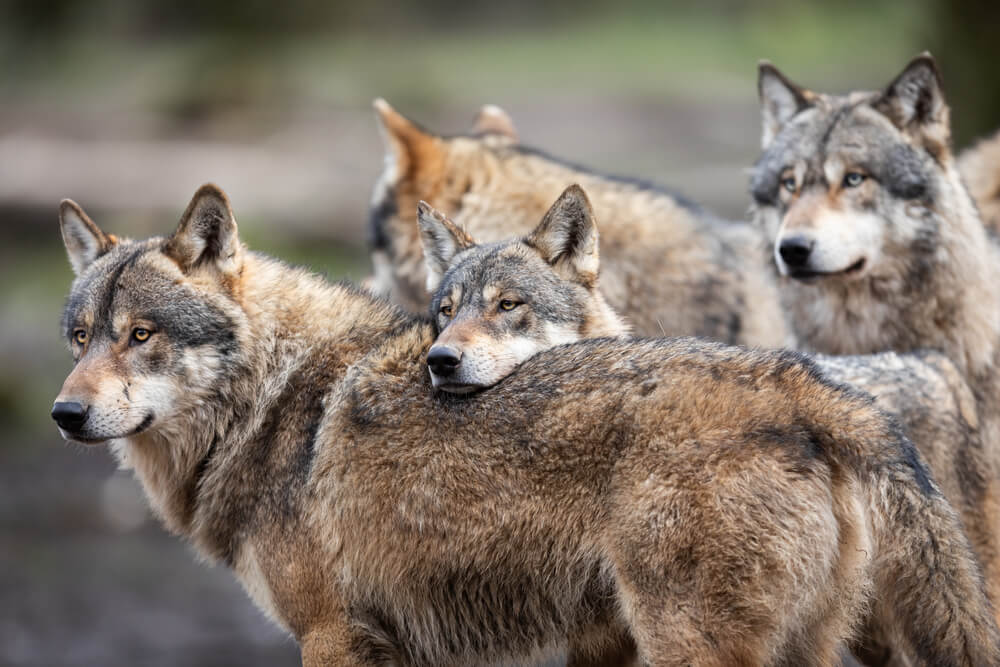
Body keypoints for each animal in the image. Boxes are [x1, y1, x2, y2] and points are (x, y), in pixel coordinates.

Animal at [52, 184, 1000, 667]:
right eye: (79, 336)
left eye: (140, 335)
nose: (64, 411)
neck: (271, 400)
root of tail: (803, 385)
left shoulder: (333, 636)